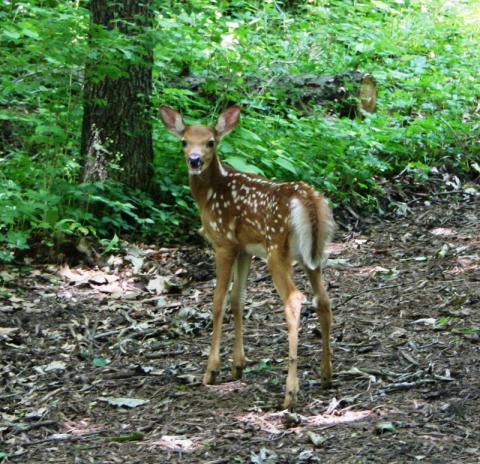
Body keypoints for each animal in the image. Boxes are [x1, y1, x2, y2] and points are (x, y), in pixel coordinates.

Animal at [159, 105, 332, 410]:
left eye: (210, 142)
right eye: (183, 141)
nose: (194, 161)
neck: (210, 195)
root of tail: (307, 200)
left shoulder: (224, 243)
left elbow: (218, 301)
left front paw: (211, 370)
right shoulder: (245, 249)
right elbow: (238, 299)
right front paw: (238, 366)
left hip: (277, 251)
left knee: (295, 299)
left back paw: (290, 393)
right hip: (314, 254)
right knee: (323, 299)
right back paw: (326, 375)